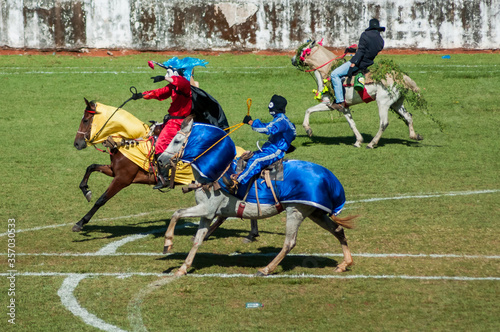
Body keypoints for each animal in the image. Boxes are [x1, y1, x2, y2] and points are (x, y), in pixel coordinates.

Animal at [74, 98, 262, 241]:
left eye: (85, 120)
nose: (77, 143)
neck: (131, 141)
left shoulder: (122, 179)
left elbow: (101, 200)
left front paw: (81, 222)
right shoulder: (115, 171)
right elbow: (91, 167)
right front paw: (86, 190)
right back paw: (249, 233)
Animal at [162, 118, 358, 276]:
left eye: (177, 140)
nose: (161, 159)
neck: (217, 172)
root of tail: (328, 177)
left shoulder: (206, 209)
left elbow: (177, 214)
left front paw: (168, 243)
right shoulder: (208, 214)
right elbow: (197, 240)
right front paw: (183, 268)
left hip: (296, 211)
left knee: (289, 242)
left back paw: (266, 269)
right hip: (315, 213)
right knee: (338, 230)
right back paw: (345, 263)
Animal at [292, 39, 424, 148]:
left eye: (302, 50)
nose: (292, 60)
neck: (327, 71)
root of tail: (401, 77)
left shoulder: (328, 103)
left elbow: (308, 110)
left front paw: (308, 129)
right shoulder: (343, 107)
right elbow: (351, 123)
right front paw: (358, 141)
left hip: (383, 103)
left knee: (384, 123)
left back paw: (372, 143)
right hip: (396, 103)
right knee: (408, 116)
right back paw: (414, 135)